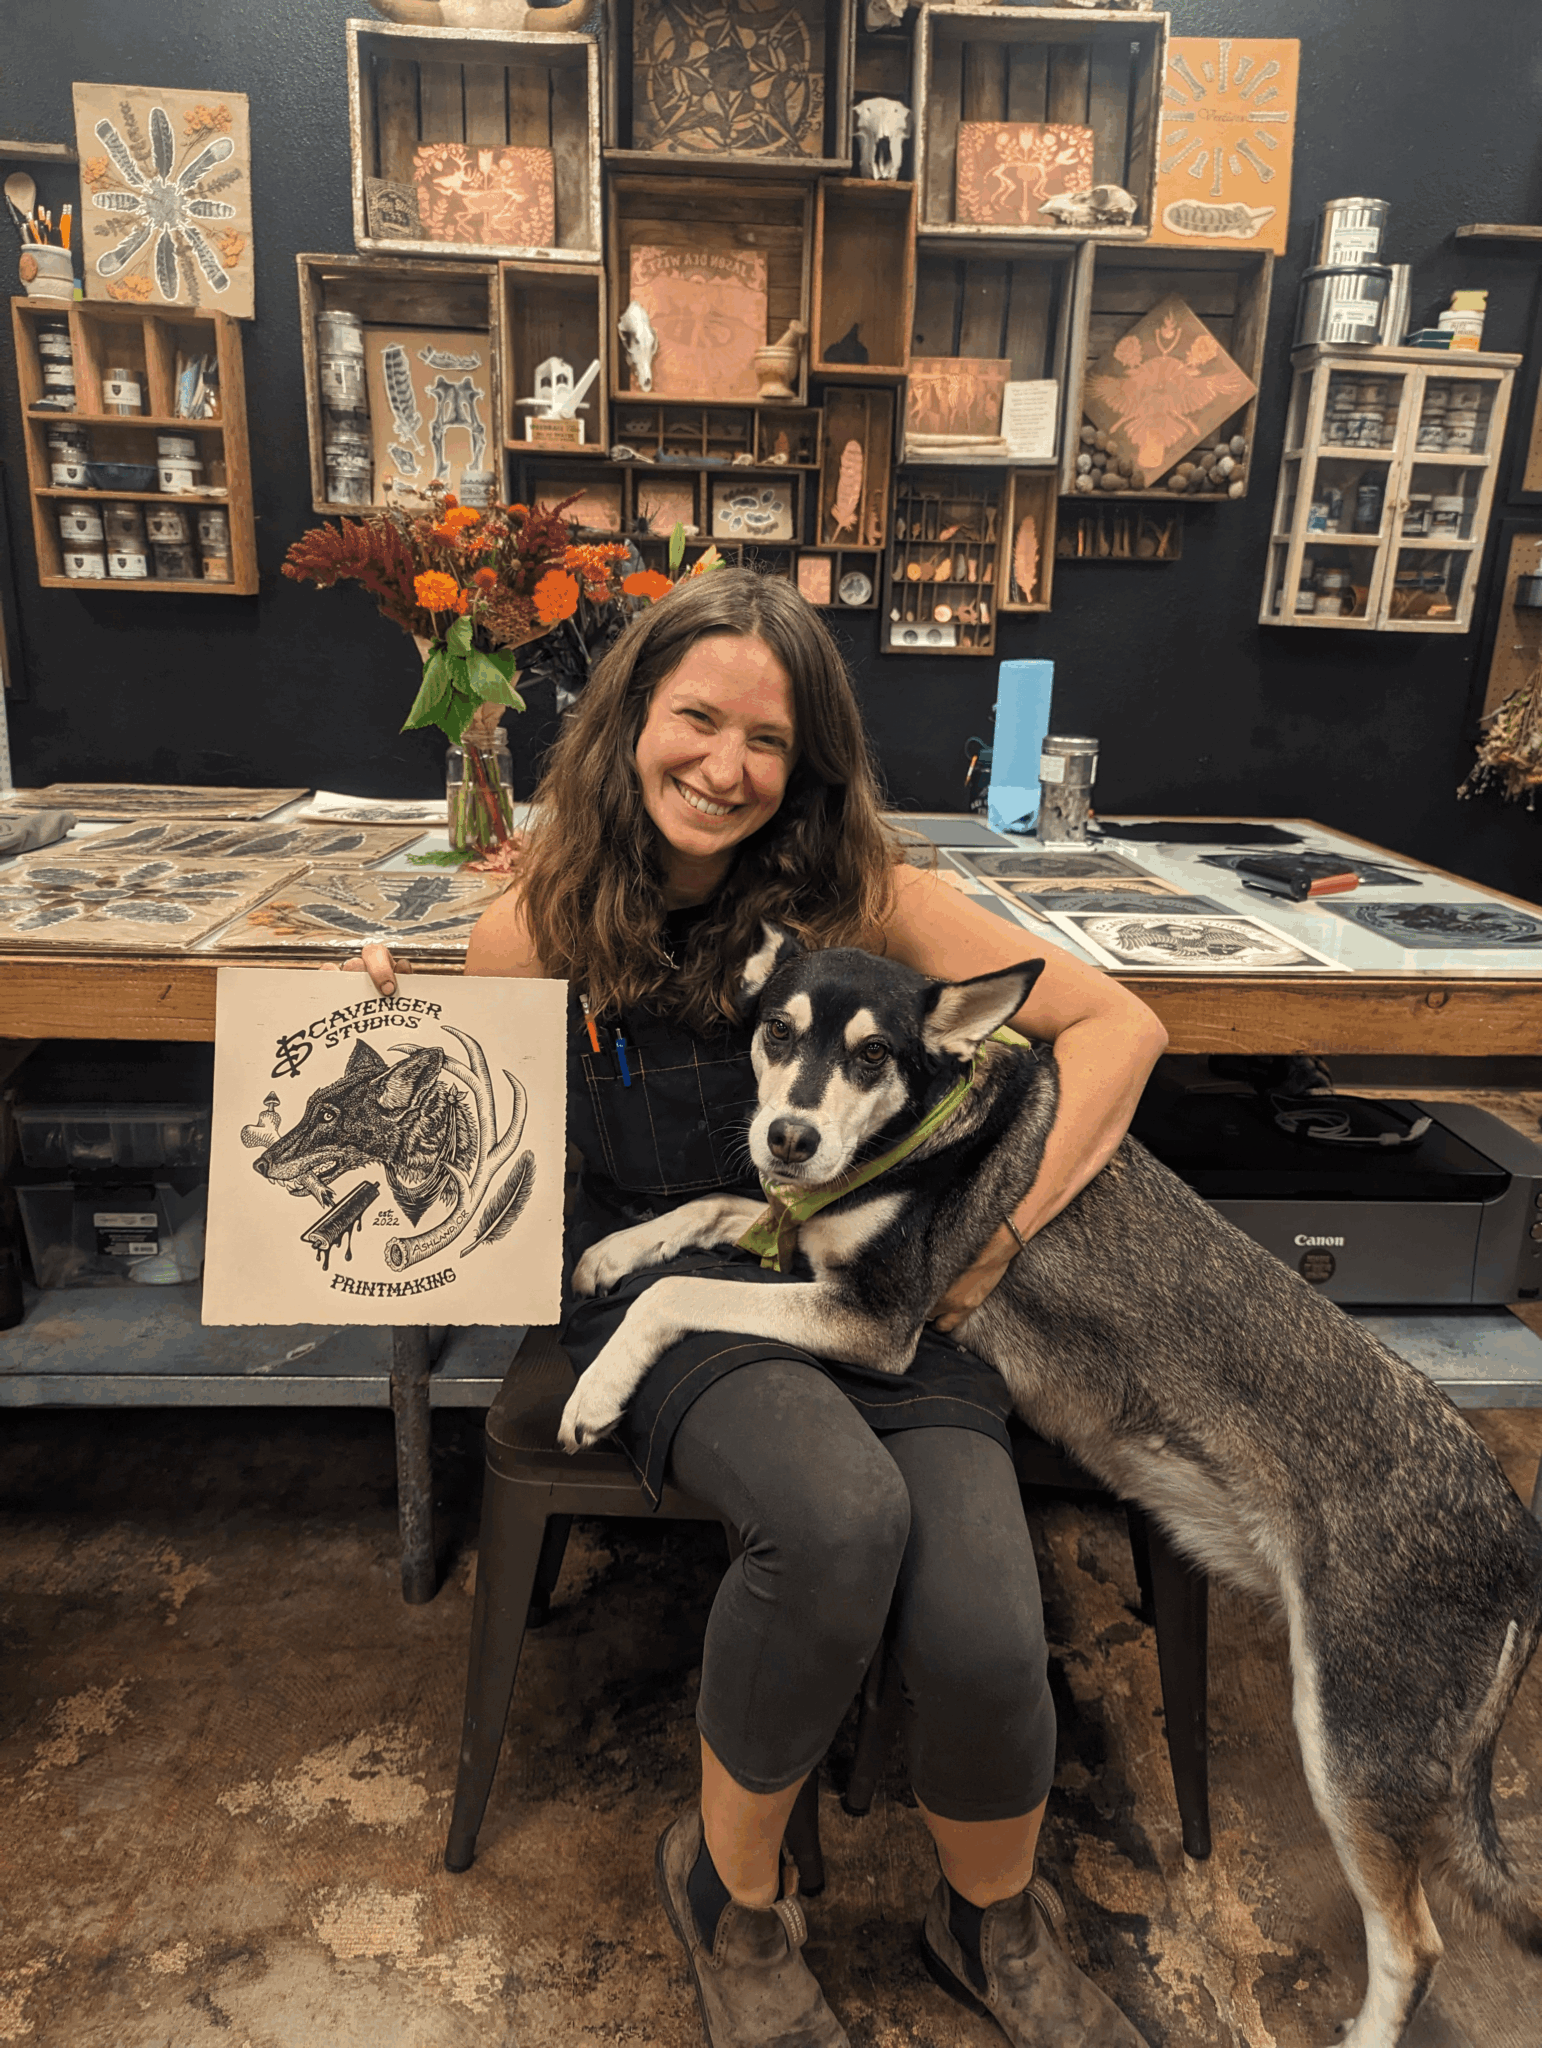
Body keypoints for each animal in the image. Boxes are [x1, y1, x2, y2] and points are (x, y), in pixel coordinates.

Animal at [558, 931, 1542, 2048]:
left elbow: (682, 1291)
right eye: (776, 1033)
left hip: (1348, 1739)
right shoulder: (807, 1238)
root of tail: (1517, 1536)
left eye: (871, 1055)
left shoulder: (876, 1320)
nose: (791, 1136)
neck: (922, 1132)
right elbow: (718, 1208)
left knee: (1414, 1942)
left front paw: (598, 1386)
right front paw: (609, 1249)